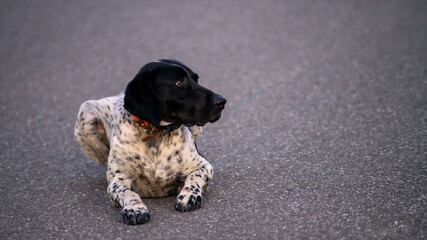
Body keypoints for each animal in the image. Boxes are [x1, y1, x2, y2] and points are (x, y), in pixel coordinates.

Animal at [73, 59, 227, 225]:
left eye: (196, 79)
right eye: (179, 82)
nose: (221, 101)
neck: (155, 133)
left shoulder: (203, 165)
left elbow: (195, 177)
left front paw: (189, 194)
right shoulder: (118, 179)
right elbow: (127, 192)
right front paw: (135, 208)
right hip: (86, 112)